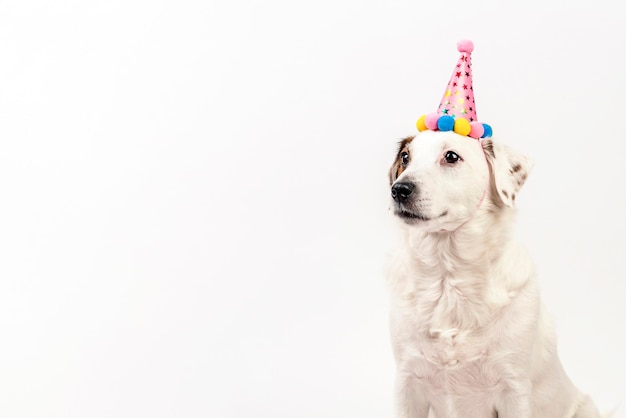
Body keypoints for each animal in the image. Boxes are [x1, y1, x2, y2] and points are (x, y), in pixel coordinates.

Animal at [386, 129, 600, 416]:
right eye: (405, 157)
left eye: (451, 156)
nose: (399, 189)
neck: (448, 280)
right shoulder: (407, 383)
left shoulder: (513, 389)